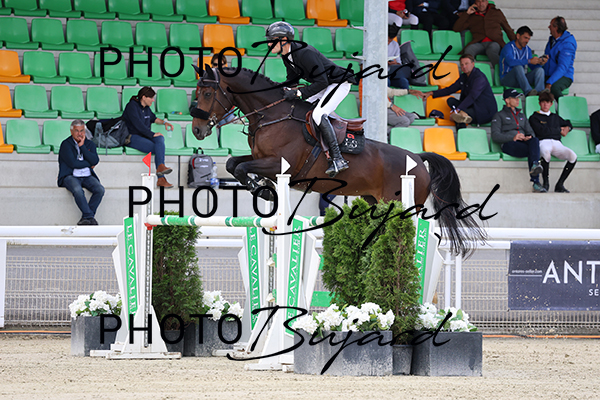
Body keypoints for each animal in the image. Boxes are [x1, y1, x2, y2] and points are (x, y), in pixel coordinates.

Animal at [190, 65, 485, 257]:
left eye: (207, 94)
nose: (197, 131)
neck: (271, 115)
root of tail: (417, 158)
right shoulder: (262, 158)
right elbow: (233, 164)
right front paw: (264, 189)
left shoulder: (280, 164)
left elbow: (240, 167)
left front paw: (264, 191)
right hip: (374, 201)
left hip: (402, 205)